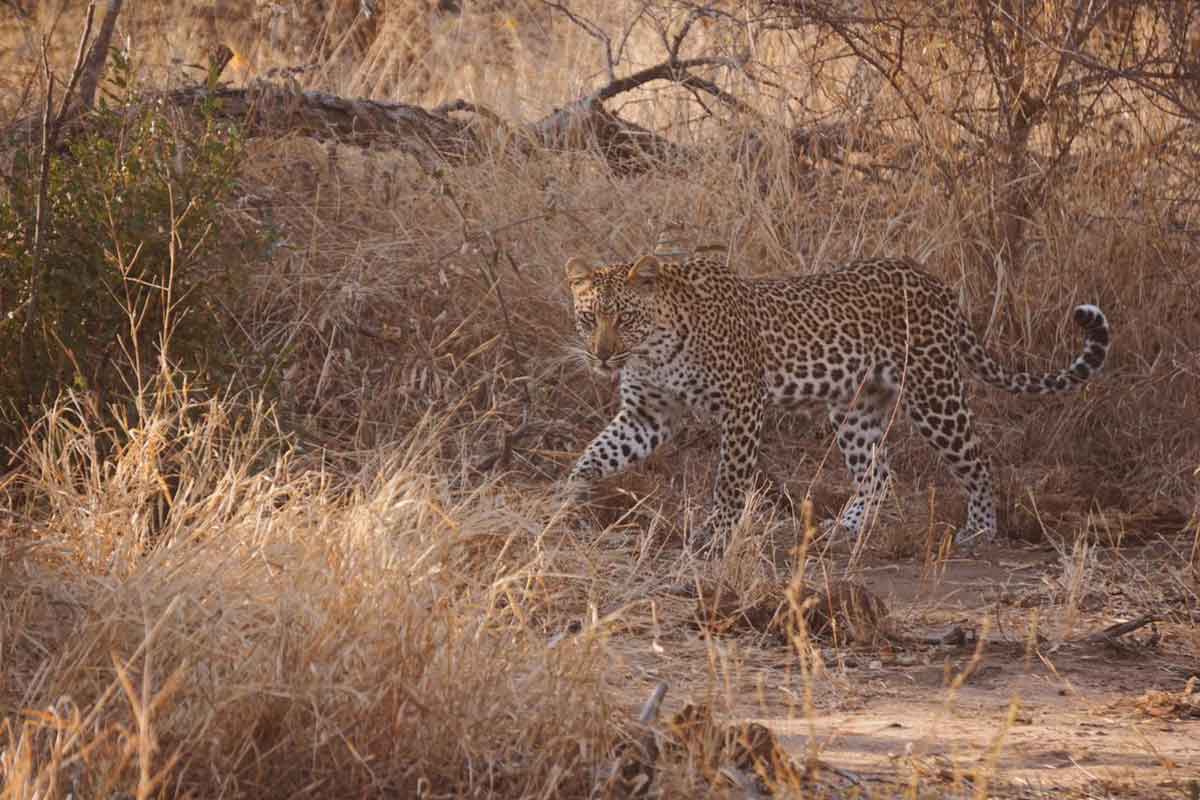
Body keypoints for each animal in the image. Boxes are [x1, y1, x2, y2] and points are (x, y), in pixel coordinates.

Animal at [563, 251, 1111, 552]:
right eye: (589, 319)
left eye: (625, 319)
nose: (601, 356)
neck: (654, 348)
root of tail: (932, 281)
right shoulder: (647, 414)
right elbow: (593, 456)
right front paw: (564, 507)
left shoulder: (742, 406)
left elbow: (729, 483)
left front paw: (716, 536)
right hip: (855, 407)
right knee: (878, 472)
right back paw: (847, 528)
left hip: (933, 391)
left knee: (977, 459)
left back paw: (981, 529)